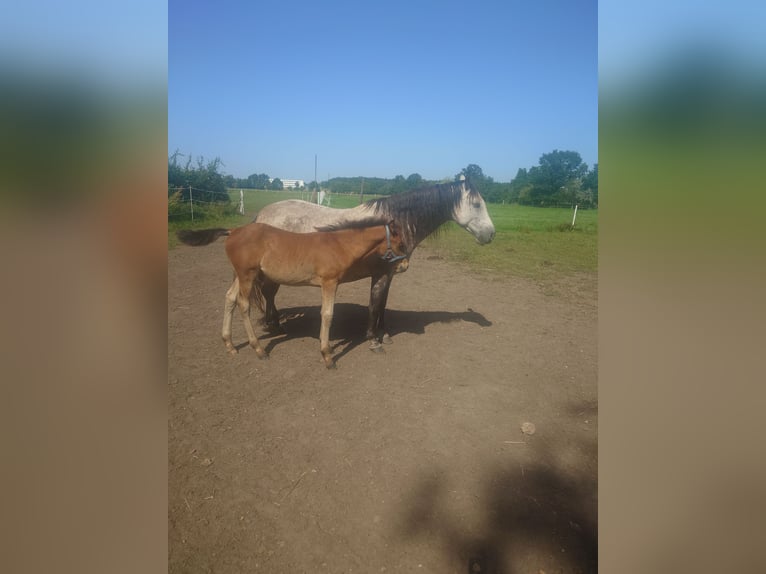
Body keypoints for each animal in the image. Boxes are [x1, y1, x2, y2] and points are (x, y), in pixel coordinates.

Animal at [176, 220, 408, 369]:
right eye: (401, 243)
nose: (404, 266)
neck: (339, 245)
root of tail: (233, 230)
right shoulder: (329, 282)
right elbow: (327, 315)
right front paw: (327, 356)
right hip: (247, 275)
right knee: (243, 304)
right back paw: (258, 350)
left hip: (241, 275)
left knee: (230, 298)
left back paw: (230, 345)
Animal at [249, 176, 496, 350]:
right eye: (476, 204)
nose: (491, 234)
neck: (392, 226)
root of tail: (262, 215)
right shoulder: (381, 274)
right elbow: (375, 305)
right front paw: (373, 339)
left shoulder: (388, 275)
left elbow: (382, 305)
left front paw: (384, 335)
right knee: (269, 293)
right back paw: (274, 324)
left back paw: (273, 322)